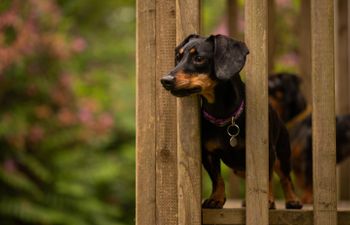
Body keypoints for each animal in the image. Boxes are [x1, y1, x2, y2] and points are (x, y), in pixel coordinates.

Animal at [160, 34, 302, 209]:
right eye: (178, 57)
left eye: (199, 58)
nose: (165, 80)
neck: (223, 115)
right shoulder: (208, 154)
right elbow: (217, 178)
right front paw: (216, 198)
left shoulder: (266, 152)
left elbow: (266, 178)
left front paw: (267, 200)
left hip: (283, 153)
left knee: (285, 177)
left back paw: (292, 200)